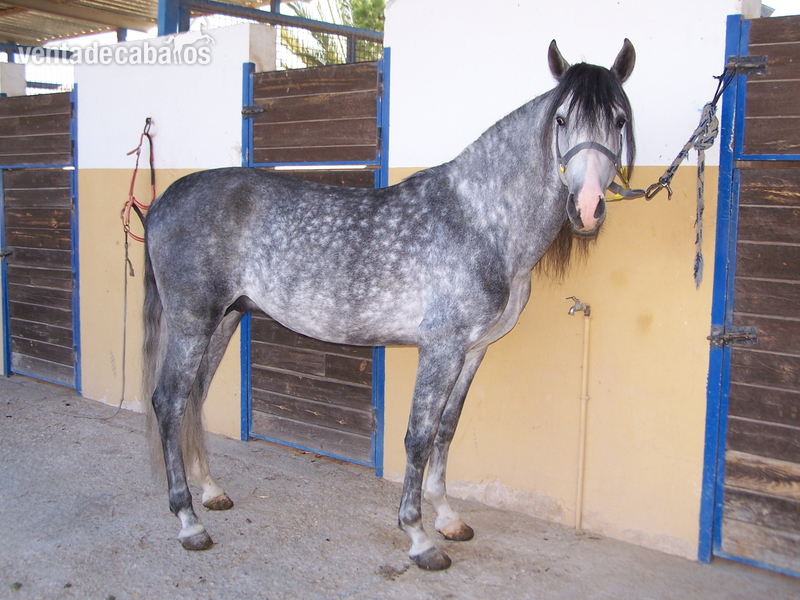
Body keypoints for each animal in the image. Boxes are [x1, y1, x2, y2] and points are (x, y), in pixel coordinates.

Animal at [142, 39, 636, 571]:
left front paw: (449, 519)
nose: (587, 208)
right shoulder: (440, 348)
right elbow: (418, 436)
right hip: (193, 322)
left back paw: (211, 493)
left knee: (193, 398)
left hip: (224, 319)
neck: (481, 219)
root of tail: (162, 201)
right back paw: (189, 521)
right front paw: (419, 537)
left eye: (619, 120)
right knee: (168, 401)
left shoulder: (473, 351)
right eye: (562, 118)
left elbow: (446, 430)